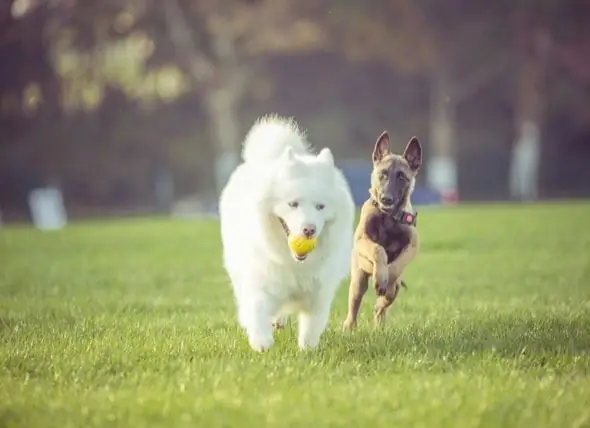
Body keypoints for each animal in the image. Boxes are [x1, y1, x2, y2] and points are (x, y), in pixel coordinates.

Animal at [219, 113, 354, 352]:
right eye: (293, 204)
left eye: (320, 206)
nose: (309, 229)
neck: (294, 263)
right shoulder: (260, 280)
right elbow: (256, 309)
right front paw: (262, 342)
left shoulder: (319, 292)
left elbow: (312, 324)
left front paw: (307, 349)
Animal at [342, 132, 426, 330]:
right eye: (382, 174)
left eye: (401, 177)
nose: (386, 199)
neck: (389, 218)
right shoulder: (362, 239)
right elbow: (378, 249)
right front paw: (381, 276)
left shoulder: (413, 245)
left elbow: (395, 266)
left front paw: (385, 280)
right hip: (358, 280)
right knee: (354, 306)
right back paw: (349, 327)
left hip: (393, 292)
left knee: (381, 306)